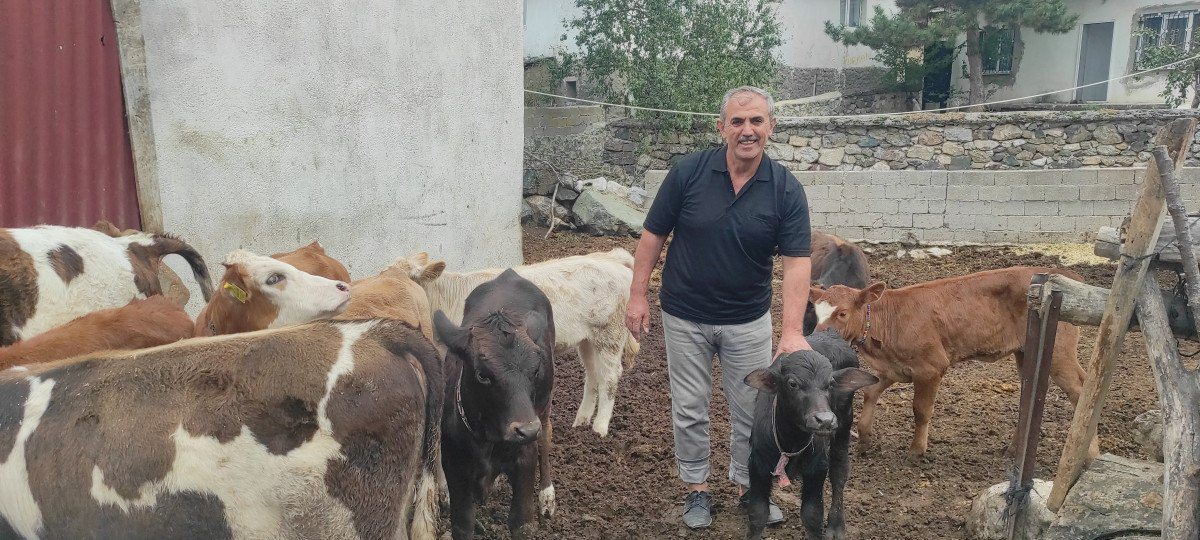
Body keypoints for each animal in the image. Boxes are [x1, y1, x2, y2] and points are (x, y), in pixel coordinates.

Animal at [397, 248, 638, 437]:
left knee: (609, 377)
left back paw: (599, 429)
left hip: (610, 334)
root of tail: (613, 258)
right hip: (587, 339)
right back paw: (581, 422)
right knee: (593, 375)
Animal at [434, 269, 555, 540]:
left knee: (546, 433)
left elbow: (521, 522)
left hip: (543, 405)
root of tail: (508, 275)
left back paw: (547, 494)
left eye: (535, 371)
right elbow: (463, 524)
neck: (488, 439)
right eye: (482, 375)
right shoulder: (456, 469)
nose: (526, 430)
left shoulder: (525, 461)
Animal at [743, 329, 878, 540]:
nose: (825, 420)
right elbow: (758, 514)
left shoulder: (817, 468)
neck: (791, 441)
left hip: (844, 426)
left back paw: (836, 525)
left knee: (839, 472)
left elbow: (812, 515)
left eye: (830, 384)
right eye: (792, 383)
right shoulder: (758, 465)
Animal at [809, 266, 1094, 460]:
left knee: (1080, 392)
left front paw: (916, 450)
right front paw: (865, 436)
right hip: (1028, 353)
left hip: (1059, 353)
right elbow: (869, 392)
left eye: (842, 313)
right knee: (1030, 397)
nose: (816, 340)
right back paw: (1014, 450)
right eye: (816, 312)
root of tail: (1063, 274)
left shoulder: (931, 367)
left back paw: (1089, 456)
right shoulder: (892, 368)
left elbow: (921, 410)